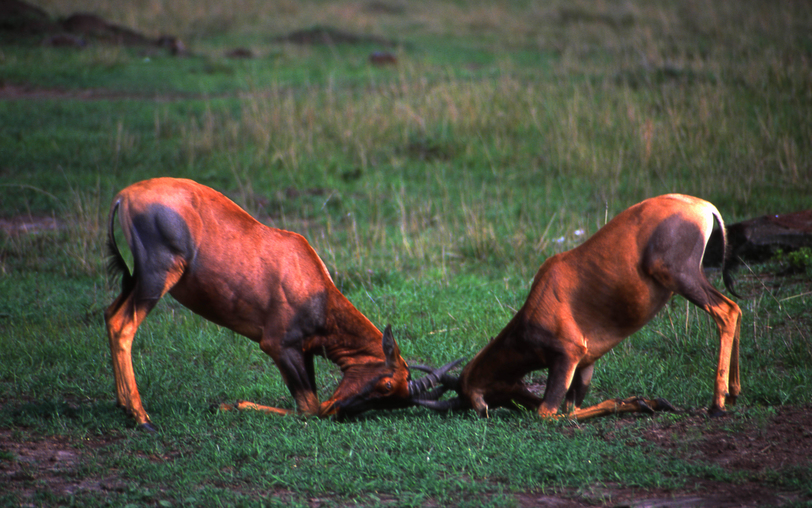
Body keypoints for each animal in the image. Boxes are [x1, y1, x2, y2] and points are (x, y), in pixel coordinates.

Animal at [103, 177, 456, 430]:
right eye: (386, 385)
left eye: (395, 399)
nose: (338, 411)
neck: (310, 280)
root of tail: (124, 195)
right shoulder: (277, 346)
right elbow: (309, 409)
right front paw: (231, 405)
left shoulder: (303, 350)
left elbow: (311, 403)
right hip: (156, 277)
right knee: (123, 325)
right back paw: (142, 418)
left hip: (137, 279)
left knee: (109, 314)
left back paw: (123, 406)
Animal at [418, 194, 744, 420]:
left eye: (486, 398)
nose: (527, 403)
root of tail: (702, 206)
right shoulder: (586, 363)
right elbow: (572, 407)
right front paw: (647, 402)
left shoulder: (567, 356)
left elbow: (552, 413)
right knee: (736, 309)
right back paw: (735, 394)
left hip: (682, 276)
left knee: (726, 312)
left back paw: (717, 404)